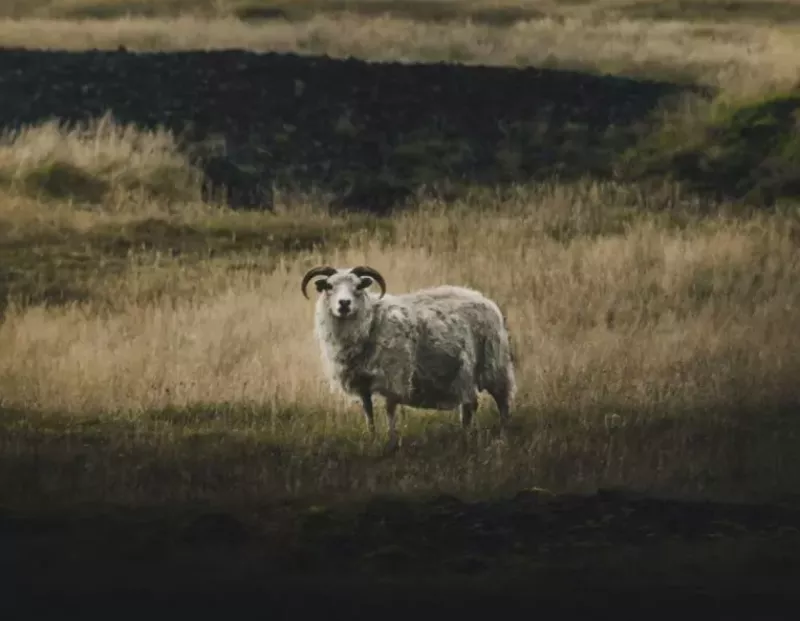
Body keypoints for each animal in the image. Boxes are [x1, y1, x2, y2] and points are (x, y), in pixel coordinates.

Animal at [302, 262, 520, 446]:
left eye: (358, 287)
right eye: (329, 286)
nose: (344, 304)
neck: (371, 321)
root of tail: (486, 300)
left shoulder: (393, 375)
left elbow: (389, 409)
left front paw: (391, 440)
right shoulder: (361, 381)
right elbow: (368, 411)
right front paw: (372, 437)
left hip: (494, 364)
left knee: (503, 402)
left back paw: (502, 436)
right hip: (463, 372)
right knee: (469, 405)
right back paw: (465, 435)